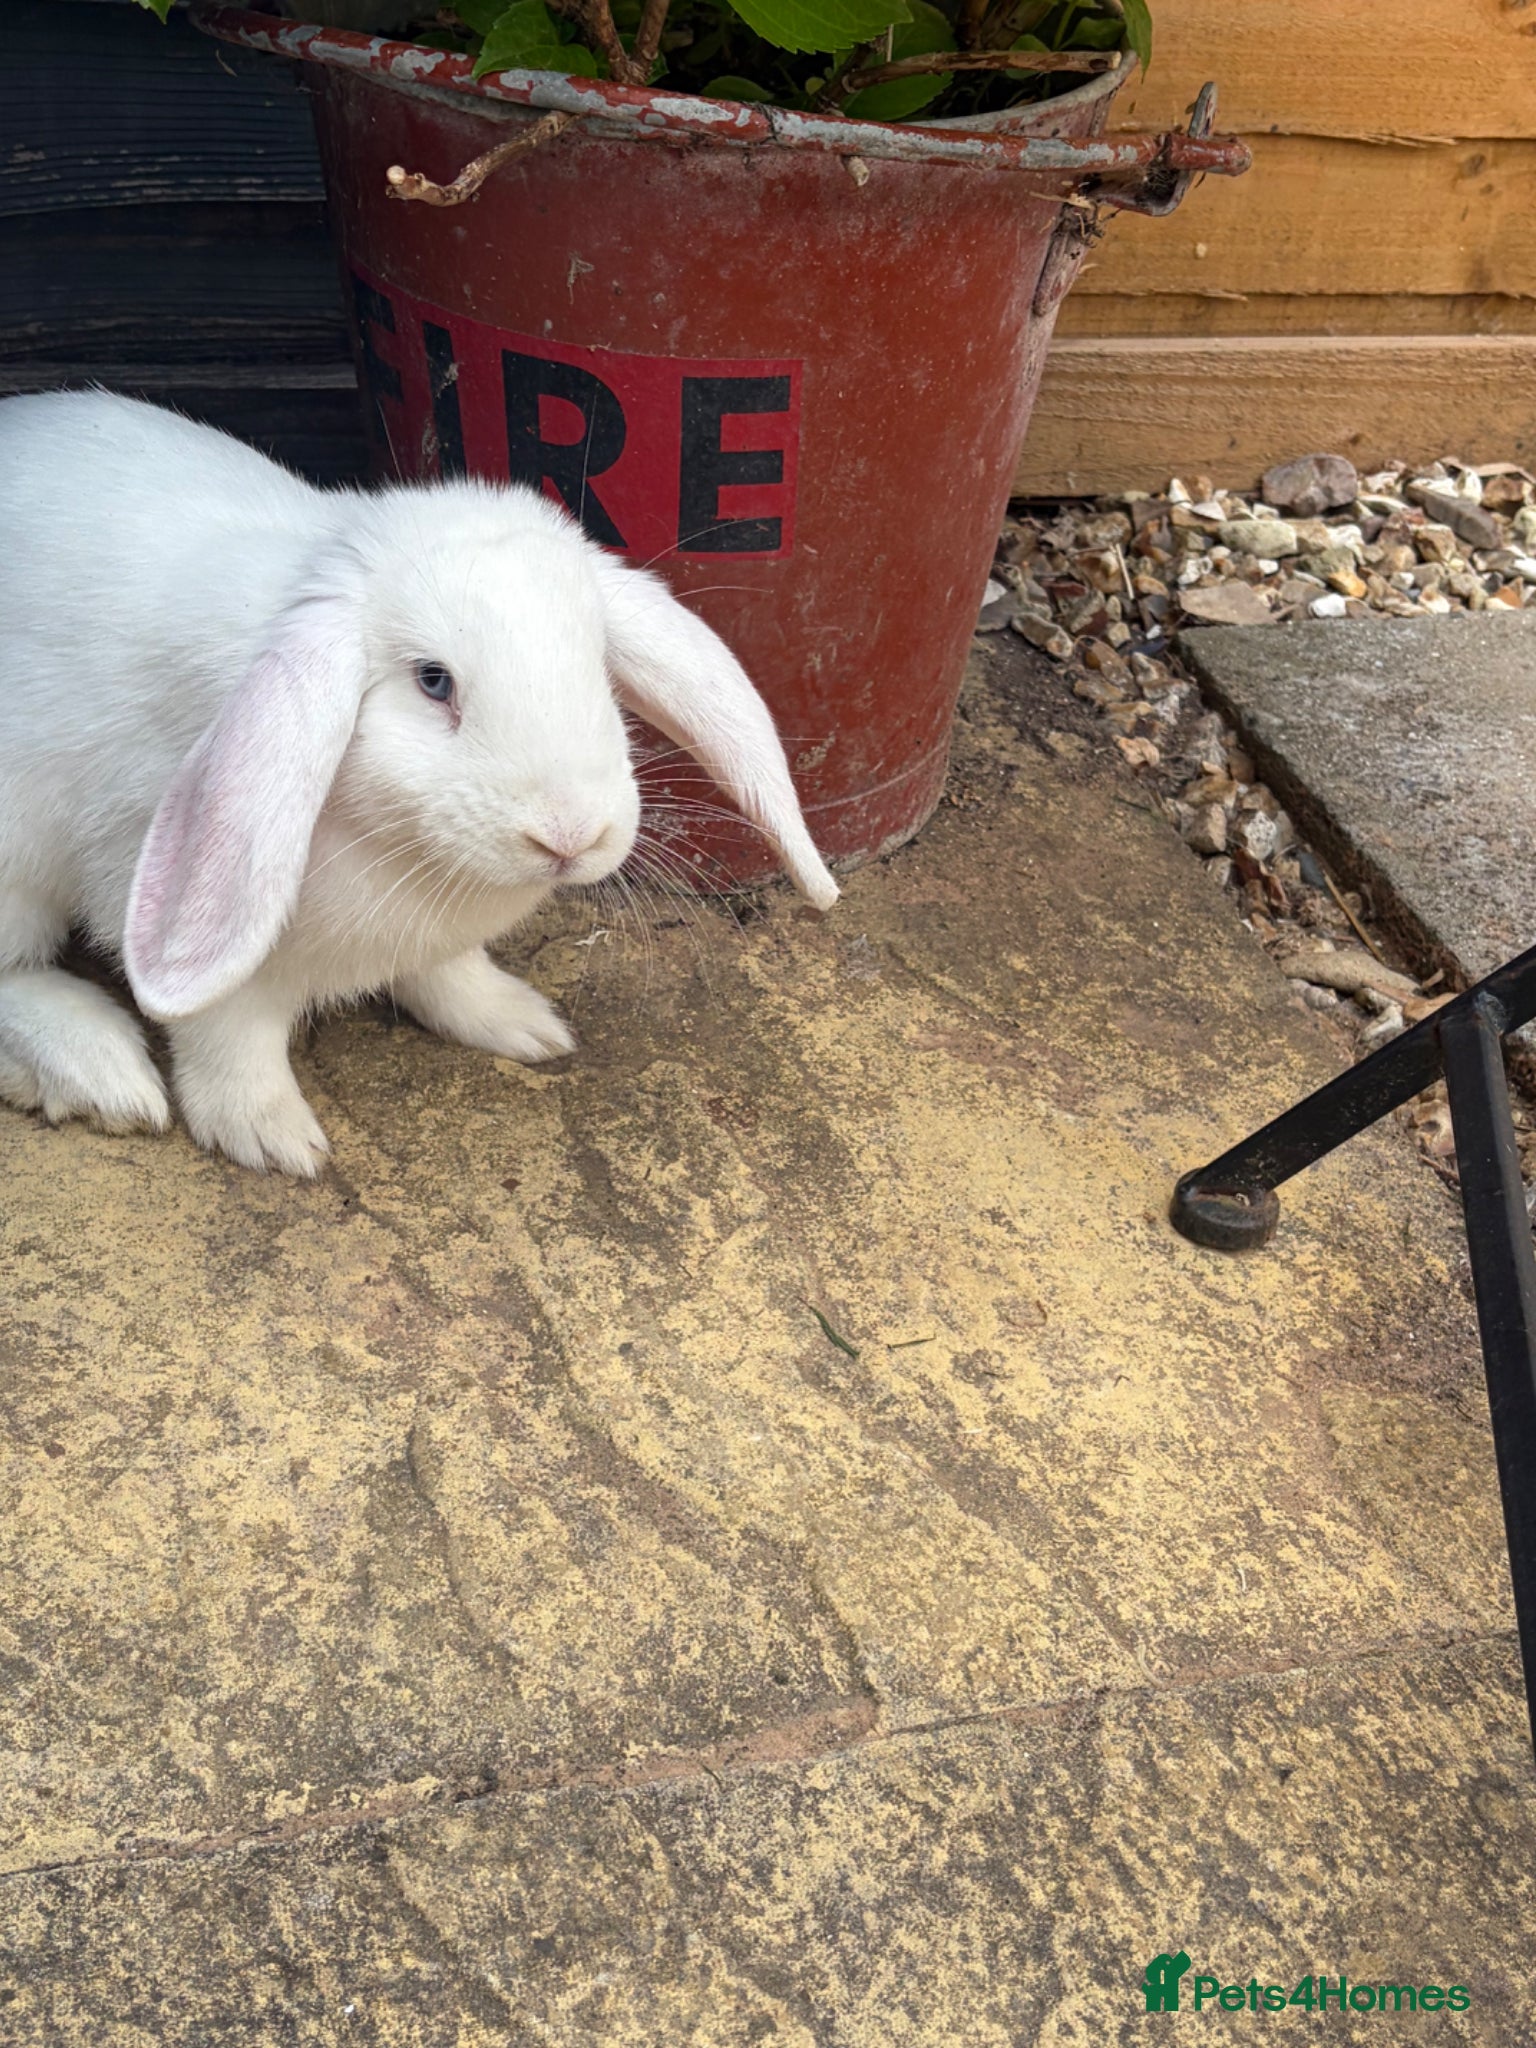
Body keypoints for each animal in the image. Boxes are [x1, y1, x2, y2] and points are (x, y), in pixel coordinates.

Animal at [0, 390, 837, 1176]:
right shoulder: (164, 898)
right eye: (434, 682)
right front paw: (271, 1136)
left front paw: (520, 1021)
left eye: (598, 666)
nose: (569, 834)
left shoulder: (434, 942)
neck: (406, 850)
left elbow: (450, 975)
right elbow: (228, 1038)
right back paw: (102, 1073)